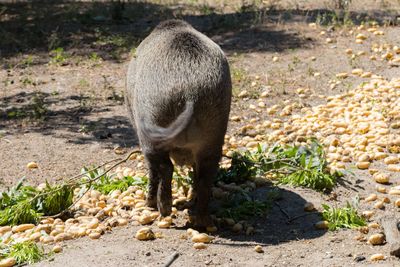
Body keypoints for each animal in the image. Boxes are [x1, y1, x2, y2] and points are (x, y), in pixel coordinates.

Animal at [125, 19, 231, 228]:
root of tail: (190, 93)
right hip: (214, 131)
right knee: (205, 175)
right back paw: (201, 219)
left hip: (151, 125)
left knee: (163, 167)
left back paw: (161, 209)